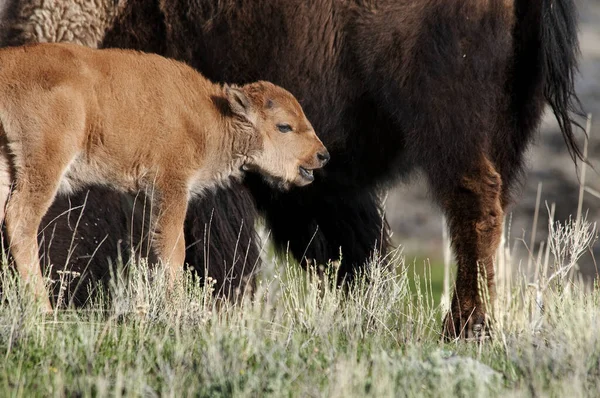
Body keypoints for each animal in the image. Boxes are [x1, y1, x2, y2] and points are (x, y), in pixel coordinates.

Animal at [0, 42, 328, 310]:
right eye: (284, 126)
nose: (322, 155)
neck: (215, 115)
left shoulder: (144, 196)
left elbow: (150, 248)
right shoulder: (171, 187)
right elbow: (174, 250)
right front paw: (175, 307)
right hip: (44, 165)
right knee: (21, 221)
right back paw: (43, 309)